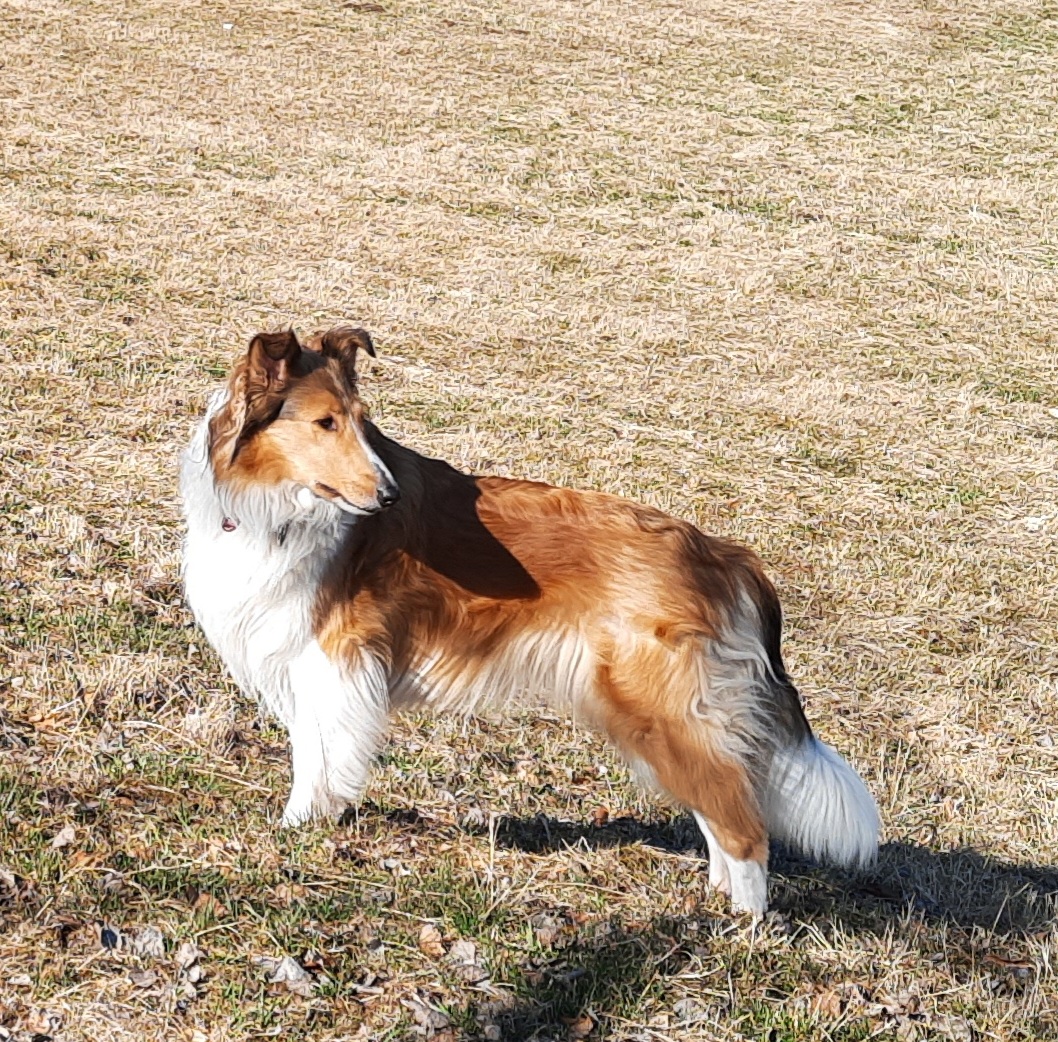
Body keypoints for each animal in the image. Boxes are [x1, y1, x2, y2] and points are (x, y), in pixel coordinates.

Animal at [180, 325, 879, 916]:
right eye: (325, 423)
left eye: (360, 424)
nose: (388, 497)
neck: (277, 504)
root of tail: (724, 554)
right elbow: (311, 748)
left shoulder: (331, 660)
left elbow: (318, 755)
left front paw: (297, 826)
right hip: (675, 720)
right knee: (720, 804)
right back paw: (715, 897)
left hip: (662, 707)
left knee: (744, 826)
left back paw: (743, 925)